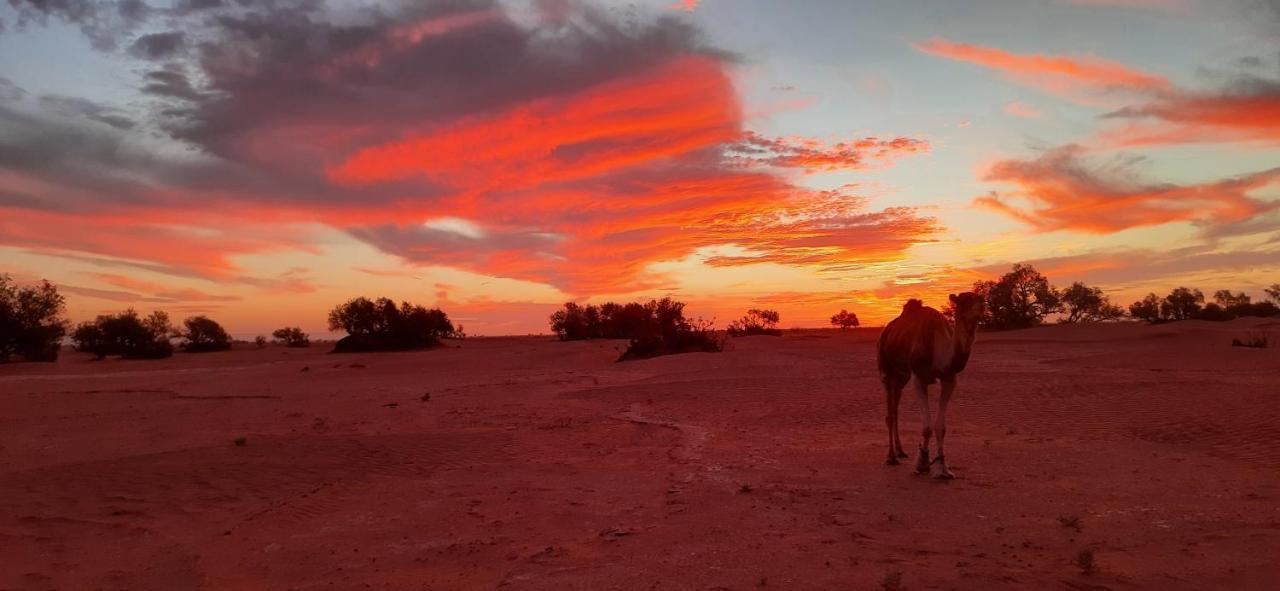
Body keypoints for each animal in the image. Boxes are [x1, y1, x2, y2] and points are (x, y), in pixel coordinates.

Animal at [875, 292, 983, 478]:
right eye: (964, 301)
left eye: (981, 298)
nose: (982, 306)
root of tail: (887, 330)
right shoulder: (919, 378)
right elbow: (926, 427)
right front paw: (923, 463)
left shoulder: (949, 379)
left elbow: (941, 427)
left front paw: (944, 468)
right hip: (886, 368)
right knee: (890, 412)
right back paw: (891, 457)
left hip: (903, 375)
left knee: (896, 406)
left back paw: (901, 451)